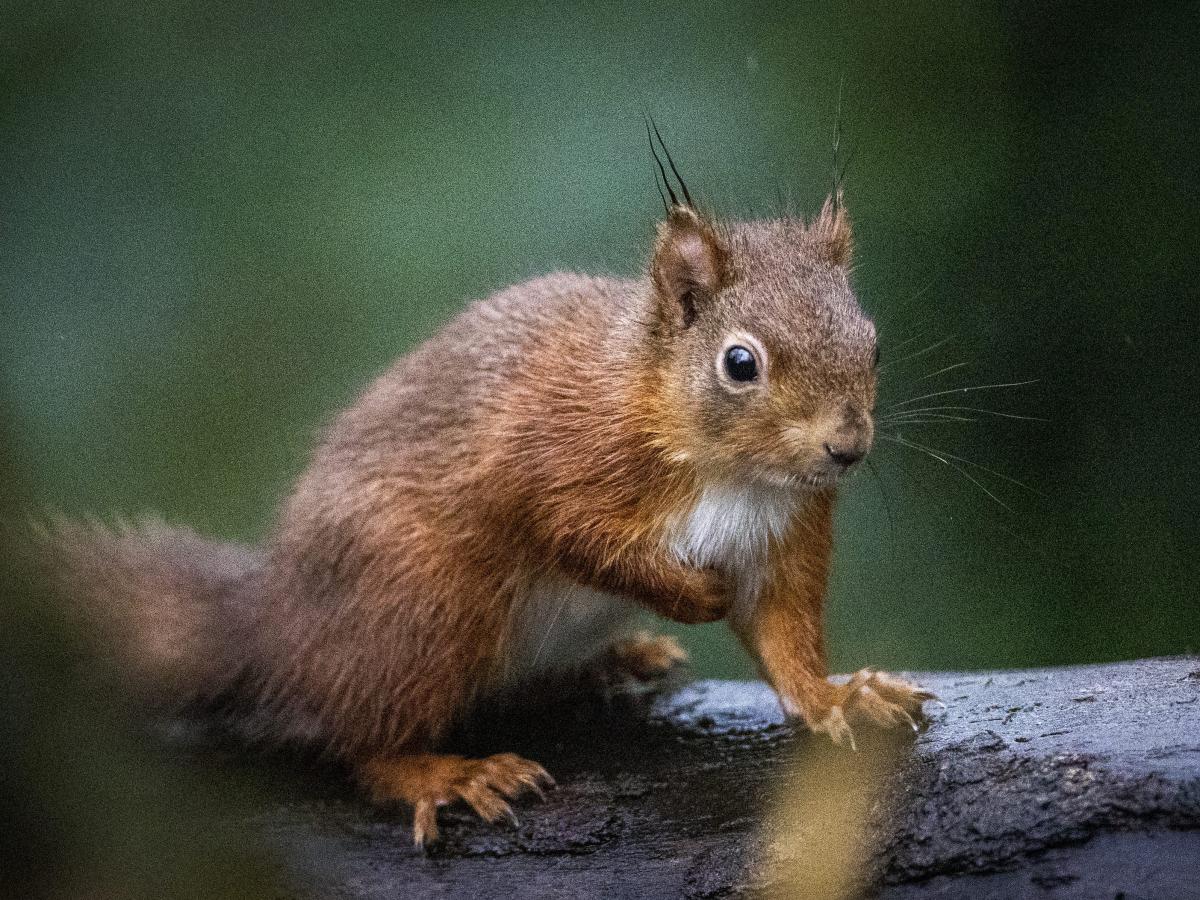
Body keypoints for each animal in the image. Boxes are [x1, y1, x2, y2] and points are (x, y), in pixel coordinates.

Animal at [37, 146, 931, 844]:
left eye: (874, 344)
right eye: (740, 364)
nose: (846, 449)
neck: (731, 472)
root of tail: (277, 628)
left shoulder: (786, 533)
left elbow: (784, 635)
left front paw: (839, 695)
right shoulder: (542, 458)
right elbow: (569, 534)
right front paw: (688, 594)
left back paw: (610, 662)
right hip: (425, 602)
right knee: (356, 738)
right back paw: (440, 773)